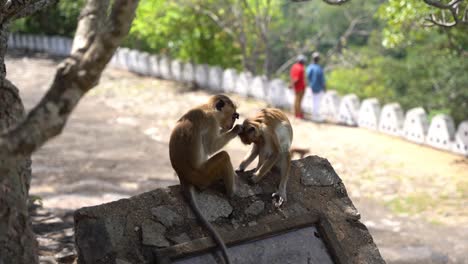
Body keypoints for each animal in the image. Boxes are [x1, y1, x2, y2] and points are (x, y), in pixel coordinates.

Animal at [168, 94, 241, 264]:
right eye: (234, 116)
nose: (231, 125)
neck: (207, 108)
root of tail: (183, 176)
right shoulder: (212, 122)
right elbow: (211, 147)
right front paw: (237, 129)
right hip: (204, 174)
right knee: (223, 156)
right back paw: (232, 192)